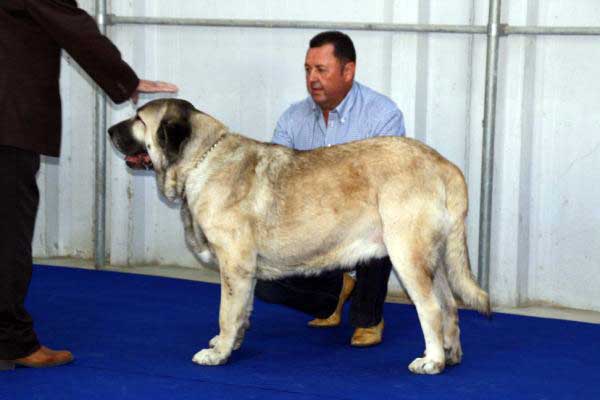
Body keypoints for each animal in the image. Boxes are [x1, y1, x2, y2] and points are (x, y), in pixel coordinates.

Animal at [110, 98, 490, 374]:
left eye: (139, 118)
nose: (112, 130)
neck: (202, 160)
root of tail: (443, 164)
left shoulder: (234, 265)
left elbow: (226, 312)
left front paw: (218, 353)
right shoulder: (245, 273)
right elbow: (241, 311)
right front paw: (230, 343)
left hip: (407, 254)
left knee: (431, 309)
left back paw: (432, 360)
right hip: (433, 260)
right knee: (449, 305)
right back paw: (451, 354)